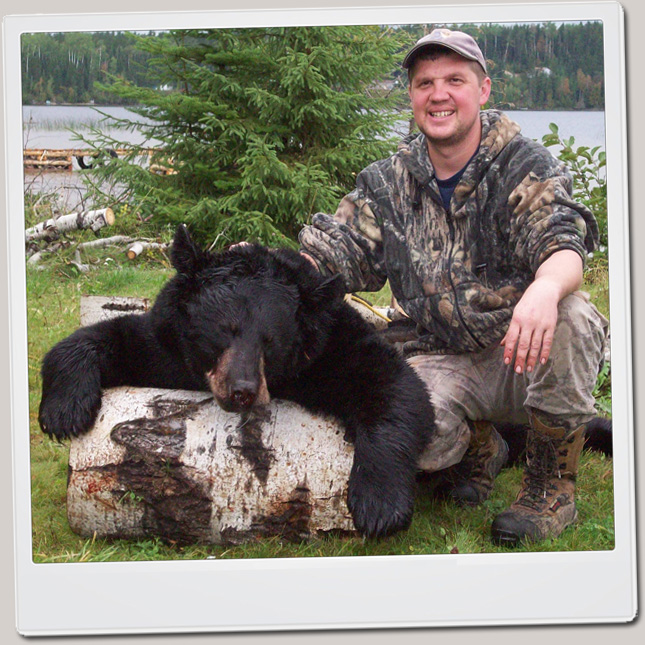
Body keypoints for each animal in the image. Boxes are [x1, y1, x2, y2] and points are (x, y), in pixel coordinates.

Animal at [38, 224, 435, 539]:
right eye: (224, 331)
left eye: (269, 341)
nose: (242, 390)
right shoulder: (167, 349)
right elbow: (113, 338)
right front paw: (64, 412)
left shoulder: (328, 350)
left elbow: (394, 385)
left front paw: (380, 505)